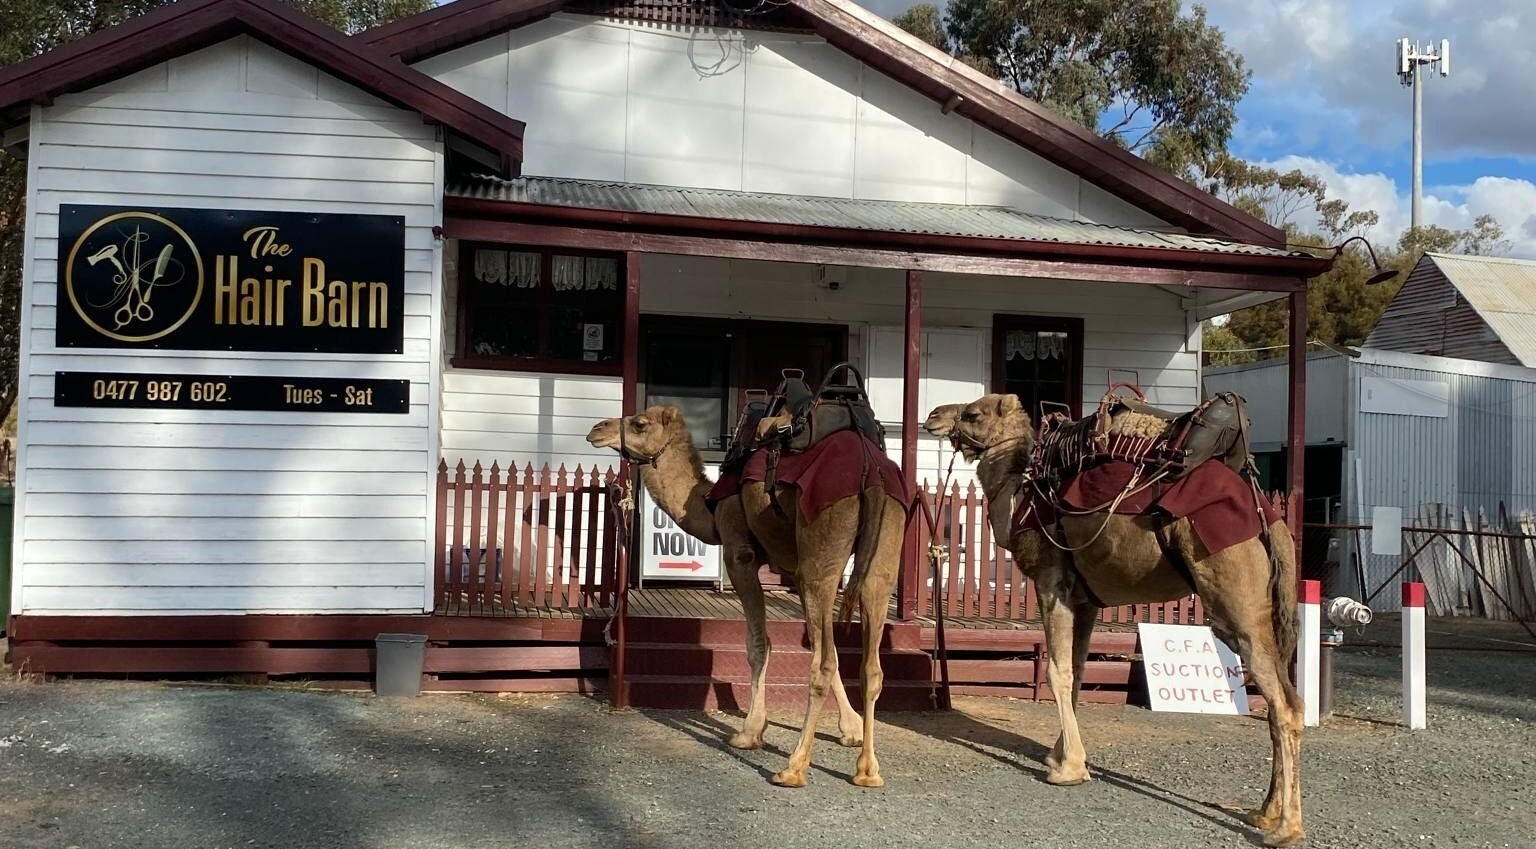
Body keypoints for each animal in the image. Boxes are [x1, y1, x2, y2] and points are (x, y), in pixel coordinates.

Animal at [587, 405, 907, 788]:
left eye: (639, 424)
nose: (596, 429)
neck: (708, 504)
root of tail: (871, 477)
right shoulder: (793, 567)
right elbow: (821, 647)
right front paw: (852, 729)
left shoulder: (740, 552)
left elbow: (759, 643)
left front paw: (749, 732)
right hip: (881, 555)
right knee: (870, 664)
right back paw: (868, 770)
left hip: (823, 548)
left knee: (823, 663)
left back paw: (793, 768)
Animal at [924, 396, 1306, 847]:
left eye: (973, 414)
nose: (933, 416)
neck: (1022, 494)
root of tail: (1270, 522)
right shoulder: (1085, 599)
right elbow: (1076, 670)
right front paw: (1059, 754)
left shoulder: (1051, 581)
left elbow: (1056, 671)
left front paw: (1069, 770)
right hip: (1263, 614)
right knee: (1284, 700)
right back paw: (1263, 812)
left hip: (1235, 600)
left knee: (1284, 705)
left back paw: (1286, 828)